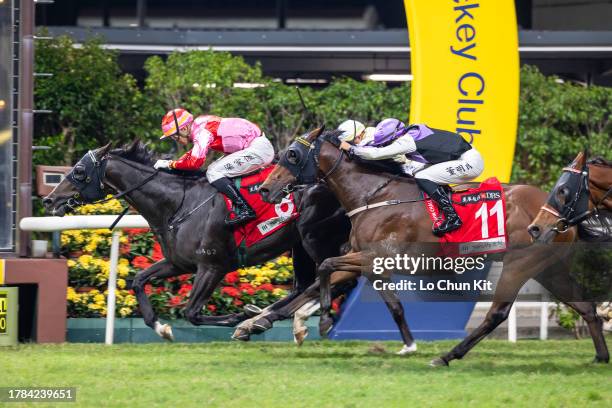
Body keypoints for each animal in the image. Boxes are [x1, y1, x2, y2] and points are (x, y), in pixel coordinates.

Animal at [41, 141, 350, 342]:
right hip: (299, 245)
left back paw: (267, 319)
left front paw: (237, 317)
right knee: (305, 286)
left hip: (314, 238)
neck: (179, 203)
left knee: (332, 280)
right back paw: (265, 317)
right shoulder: (179, 263)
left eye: (79, 171)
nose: (49, 200)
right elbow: (139, 280)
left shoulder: (212, 266)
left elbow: (191, 312)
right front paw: (162, 328)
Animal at [256, 129, 608, 364]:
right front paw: (263, 322)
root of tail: (557, 211)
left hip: (520, 263)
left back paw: (448, 356)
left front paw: (326, 319)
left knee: (497, 313)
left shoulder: (381, 257)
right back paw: (601, 357)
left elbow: (327, 266)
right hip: (549, 267)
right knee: (585, 306)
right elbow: (377, 299)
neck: (374, 195)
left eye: (292, 155)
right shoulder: (371, 262)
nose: (265, 188)